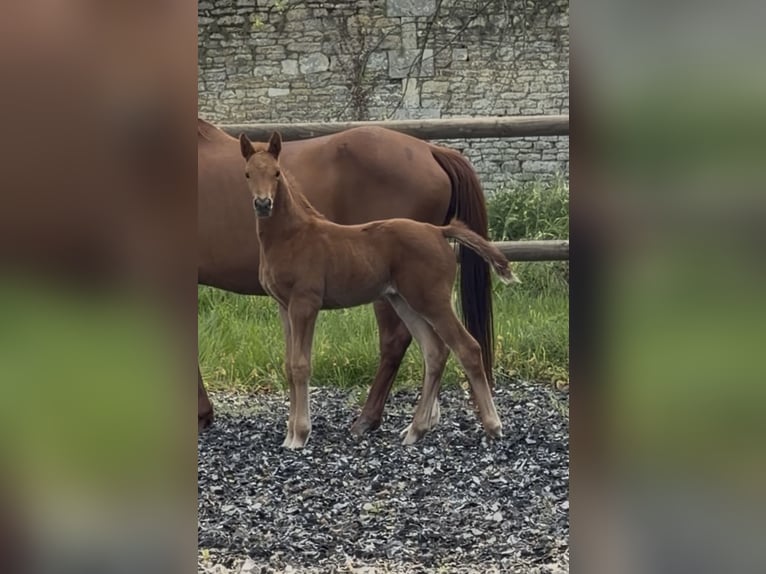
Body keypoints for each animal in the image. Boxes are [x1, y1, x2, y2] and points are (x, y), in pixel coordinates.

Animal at [198, 118, 495, 434]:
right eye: (246, 174)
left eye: (277, 173)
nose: (263, 204)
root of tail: (430, 149)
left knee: (397, 340)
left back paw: (369, 418)